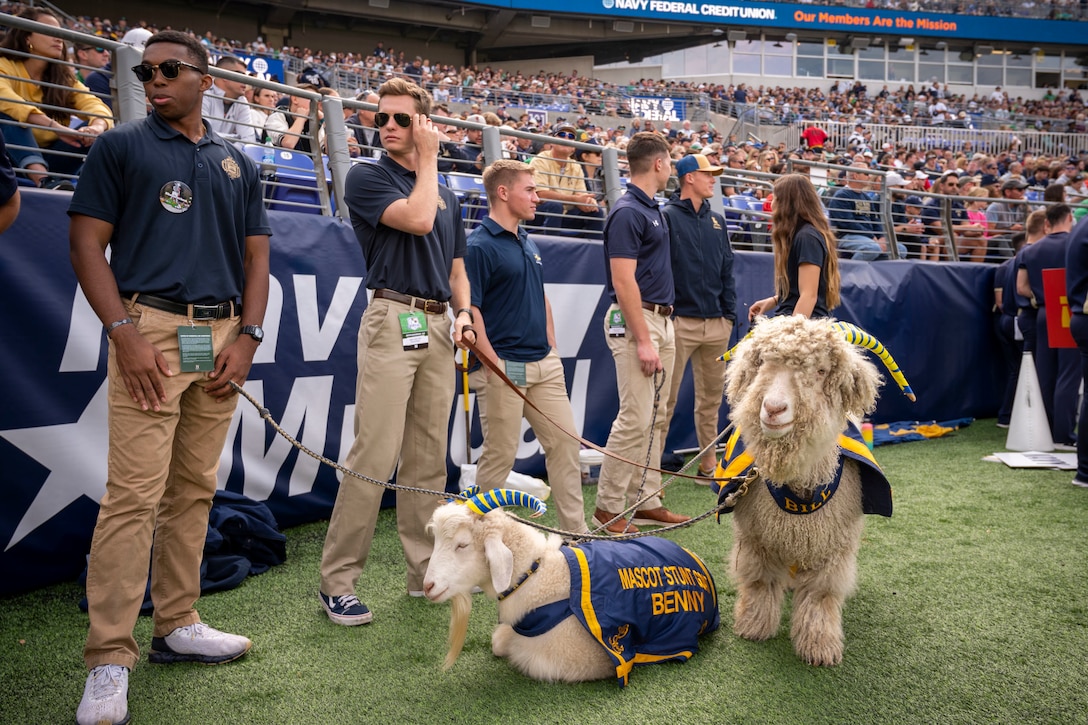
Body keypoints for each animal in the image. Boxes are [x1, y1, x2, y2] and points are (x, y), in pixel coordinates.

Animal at [424, 485, 722, 683]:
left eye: (462, 544)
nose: (427, 587)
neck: (539, 574)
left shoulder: (573, 658)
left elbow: (509, 647)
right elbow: (499, 640)